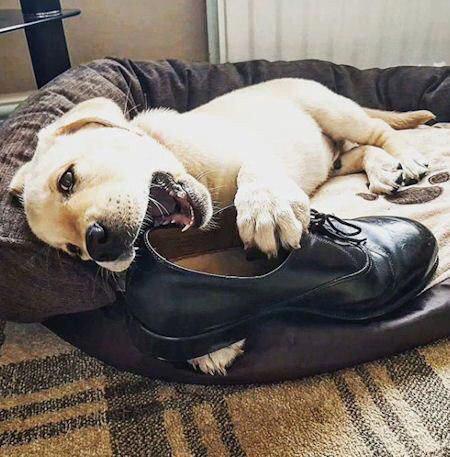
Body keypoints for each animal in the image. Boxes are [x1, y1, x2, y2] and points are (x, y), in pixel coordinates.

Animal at [9, 76, 432, 372]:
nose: (99, 246)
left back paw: (407, 158)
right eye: (72, 251)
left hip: (335, 112)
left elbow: (254, 169)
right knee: (359, 153)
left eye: (67, 180)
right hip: (334, 158)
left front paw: (267, 206)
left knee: (380, 132)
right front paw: (211, 348)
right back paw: (382, 170)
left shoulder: (249, 149)